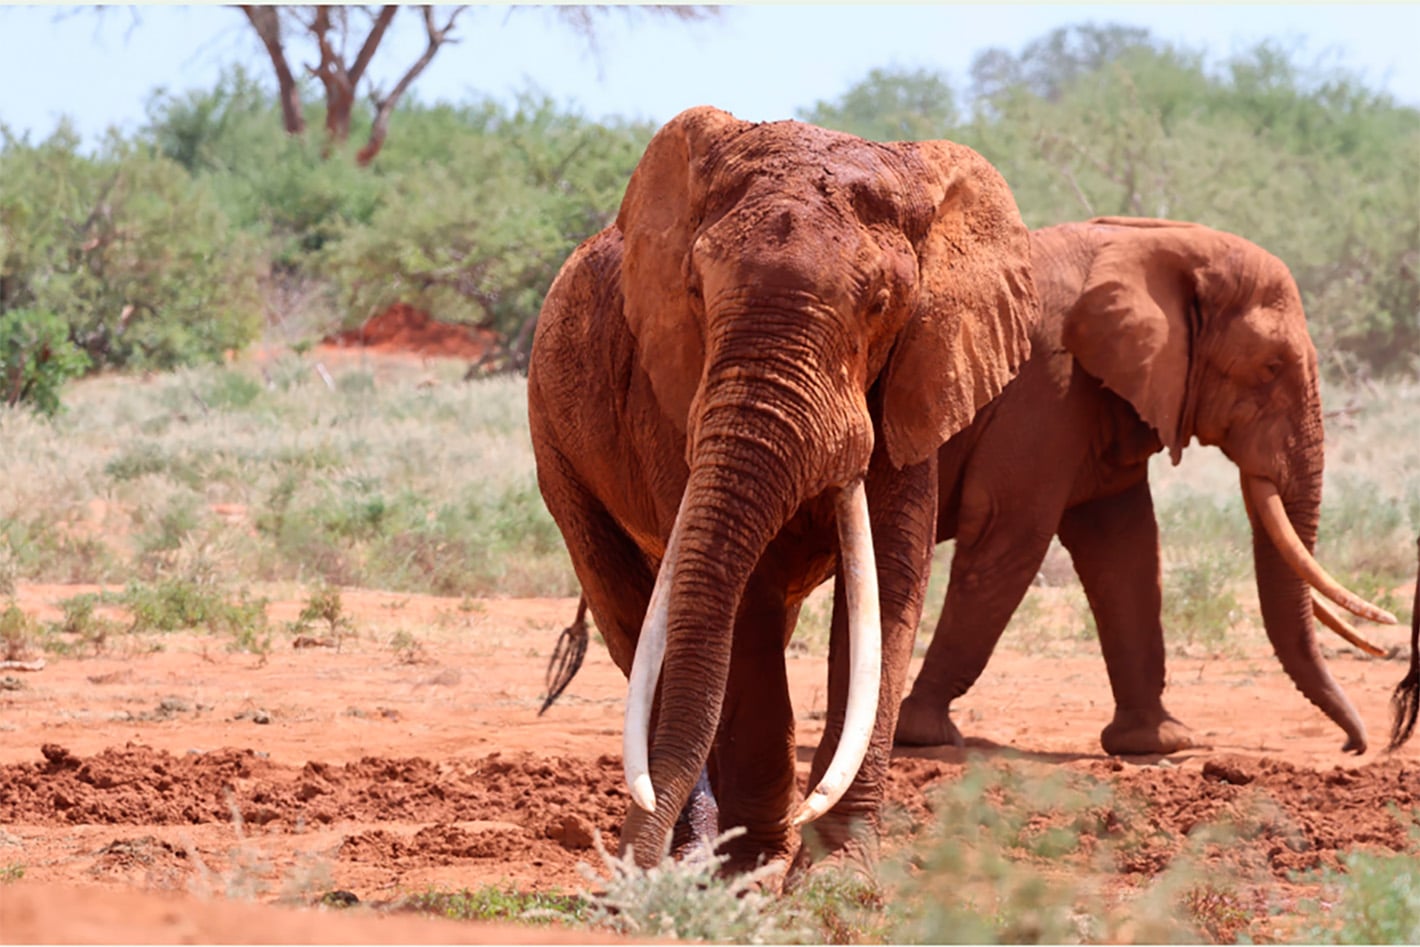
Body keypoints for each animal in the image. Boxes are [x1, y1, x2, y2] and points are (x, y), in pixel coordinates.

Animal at [527, 106, 1037, 878]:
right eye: (696, 291)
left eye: (881, 303)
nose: (628, 869)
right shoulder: (671, 397)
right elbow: (747, 599)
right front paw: (748, 869)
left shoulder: (919, 381)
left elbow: (888, 586)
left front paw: (837, 877)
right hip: (555, 442)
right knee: (631, 615)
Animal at [893, 216, 1397, 757]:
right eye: (1271, 367)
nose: (1354, 747)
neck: (1152, 242)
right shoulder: (1046, 383)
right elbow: (1009, 532)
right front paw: (924, 734)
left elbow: (1123, 547)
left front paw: (1156, 742)